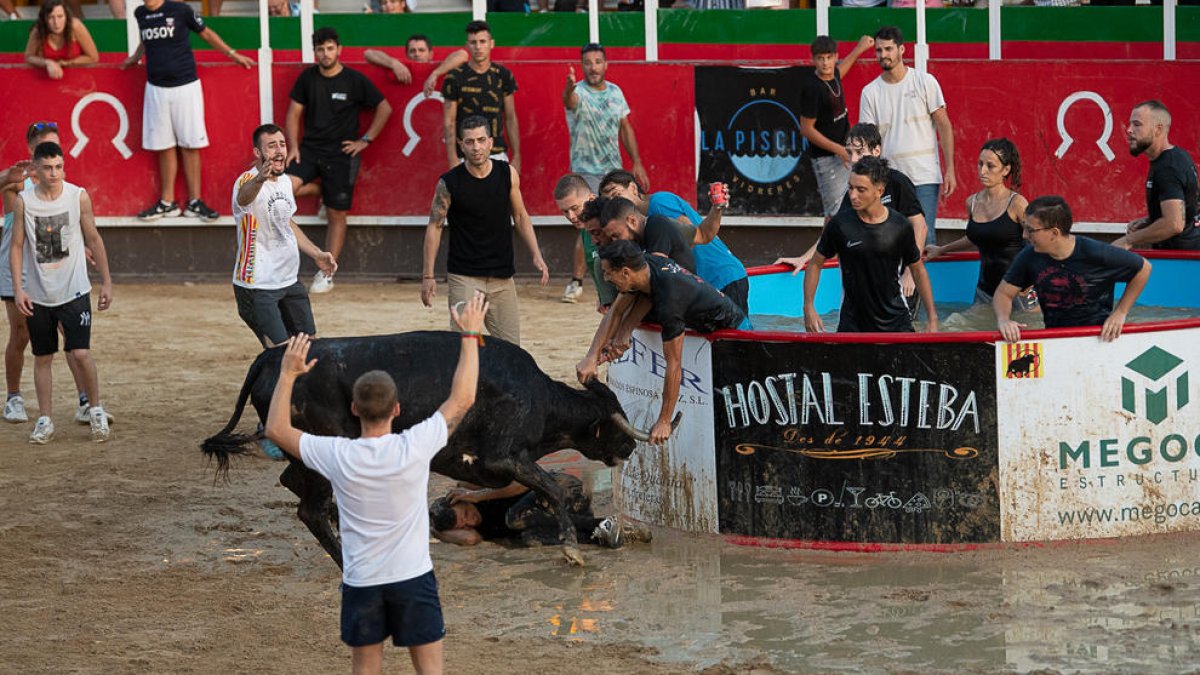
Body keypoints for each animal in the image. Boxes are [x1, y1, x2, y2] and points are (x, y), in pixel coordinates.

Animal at [206, 329, 657, 562]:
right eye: (615, 421)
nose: (631, 448)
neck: (538, 397)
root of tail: (271, 358)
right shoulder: (503, 458)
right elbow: (552, 488)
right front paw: (570, 547)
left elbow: (547, 490)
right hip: (324, 451)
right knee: (309, 509)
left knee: (294, 484)